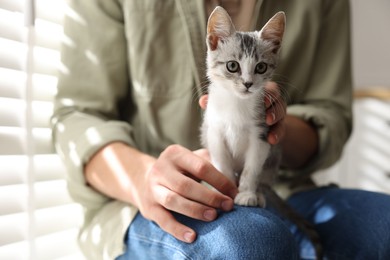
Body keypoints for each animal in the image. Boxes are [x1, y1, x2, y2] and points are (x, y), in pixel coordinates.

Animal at [201, 7, 322, 258]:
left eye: (261, 67)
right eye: (232, 66)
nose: (247, 84)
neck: (236, 105)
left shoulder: (262, 135)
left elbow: (251, 168)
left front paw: (247, 193)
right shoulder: (213, 130)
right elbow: (222, 163)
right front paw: (226, 187)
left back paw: (260, 195)